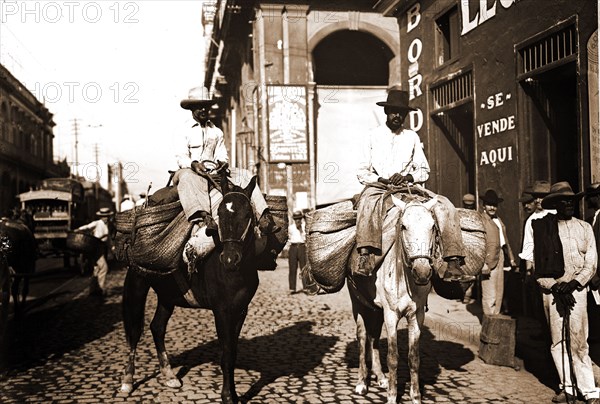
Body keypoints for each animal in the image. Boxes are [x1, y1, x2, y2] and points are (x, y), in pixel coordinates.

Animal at [121, 175, 260, 402]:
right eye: (220, 213)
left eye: (247, 213)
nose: (230, 259)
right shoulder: (221, 311)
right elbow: (226, 354)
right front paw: (227, 396)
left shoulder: (240, 311)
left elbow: (233, 352)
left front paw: (234, 395)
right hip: (137, 287)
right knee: (134, 331)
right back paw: (127, 381)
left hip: (167, 296)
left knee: (157, 327)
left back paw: (169, 376)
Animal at [346, 194, 436, 402]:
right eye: (403, 226)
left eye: (432, 226)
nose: (422, 272)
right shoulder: (391, 315)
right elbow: (393, 357)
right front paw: (392, 397)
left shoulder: (416, 316)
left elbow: (414, 358)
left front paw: (415, 397)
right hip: (358, 304)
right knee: (362, 338)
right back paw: (361, 383)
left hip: (376, 310)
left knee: (374, 337)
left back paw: (380, 378)